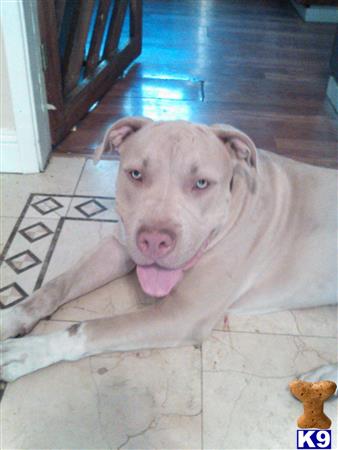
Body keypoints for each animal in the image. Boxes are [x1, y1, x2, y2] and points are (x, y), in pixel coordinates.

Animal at [0, 117, 338, 384]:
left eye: (201, 183)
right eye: (135, 174)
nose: (153, 240)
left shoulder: (185, 314)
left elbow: (88, 328)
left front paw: (30, 351)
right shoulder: (119, 246)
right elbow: (55, 286)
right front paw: (10, 318)